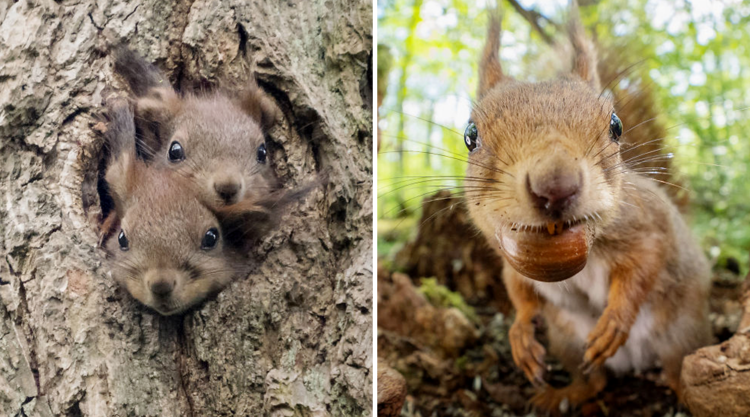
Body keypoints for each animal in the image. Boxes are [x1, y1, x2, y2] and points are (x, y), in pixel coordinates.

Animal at [468, 4, 712, 412]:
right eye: (470, 136)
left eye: (616, 126)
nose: (556, 187)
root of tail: (636, 363)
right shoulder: (509, 259)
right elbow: (518, 291)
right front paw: (520, 333)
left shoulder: (647, 226)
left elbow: (645, 265)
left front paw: (615, 319)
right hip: (566, 339)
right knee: (594, 381)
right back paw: (563, 394)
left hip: (681, 333)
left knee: (680, 370)